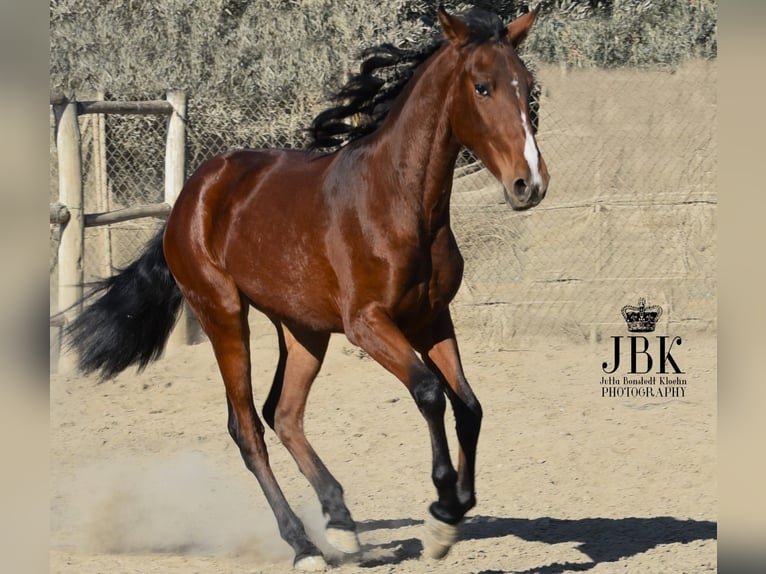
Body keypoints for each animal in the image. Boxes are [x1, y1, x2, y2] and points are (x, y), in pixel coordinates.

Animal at [64, 4, 544, 572]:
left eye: (528, 86)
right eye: (482, 87)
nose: (530, 184)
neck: (398, 201)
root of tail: (190, 196)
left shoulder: (431, 318)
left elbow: (469, 405)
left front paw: (448, 521)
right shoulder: (367, 324)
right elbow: (430, 393)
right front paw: (442, 504)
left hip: (302, 329)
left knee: (284, 413)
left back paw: (341, 525)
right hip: (224, 315)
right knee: (248, 427)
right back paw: (303, 545)